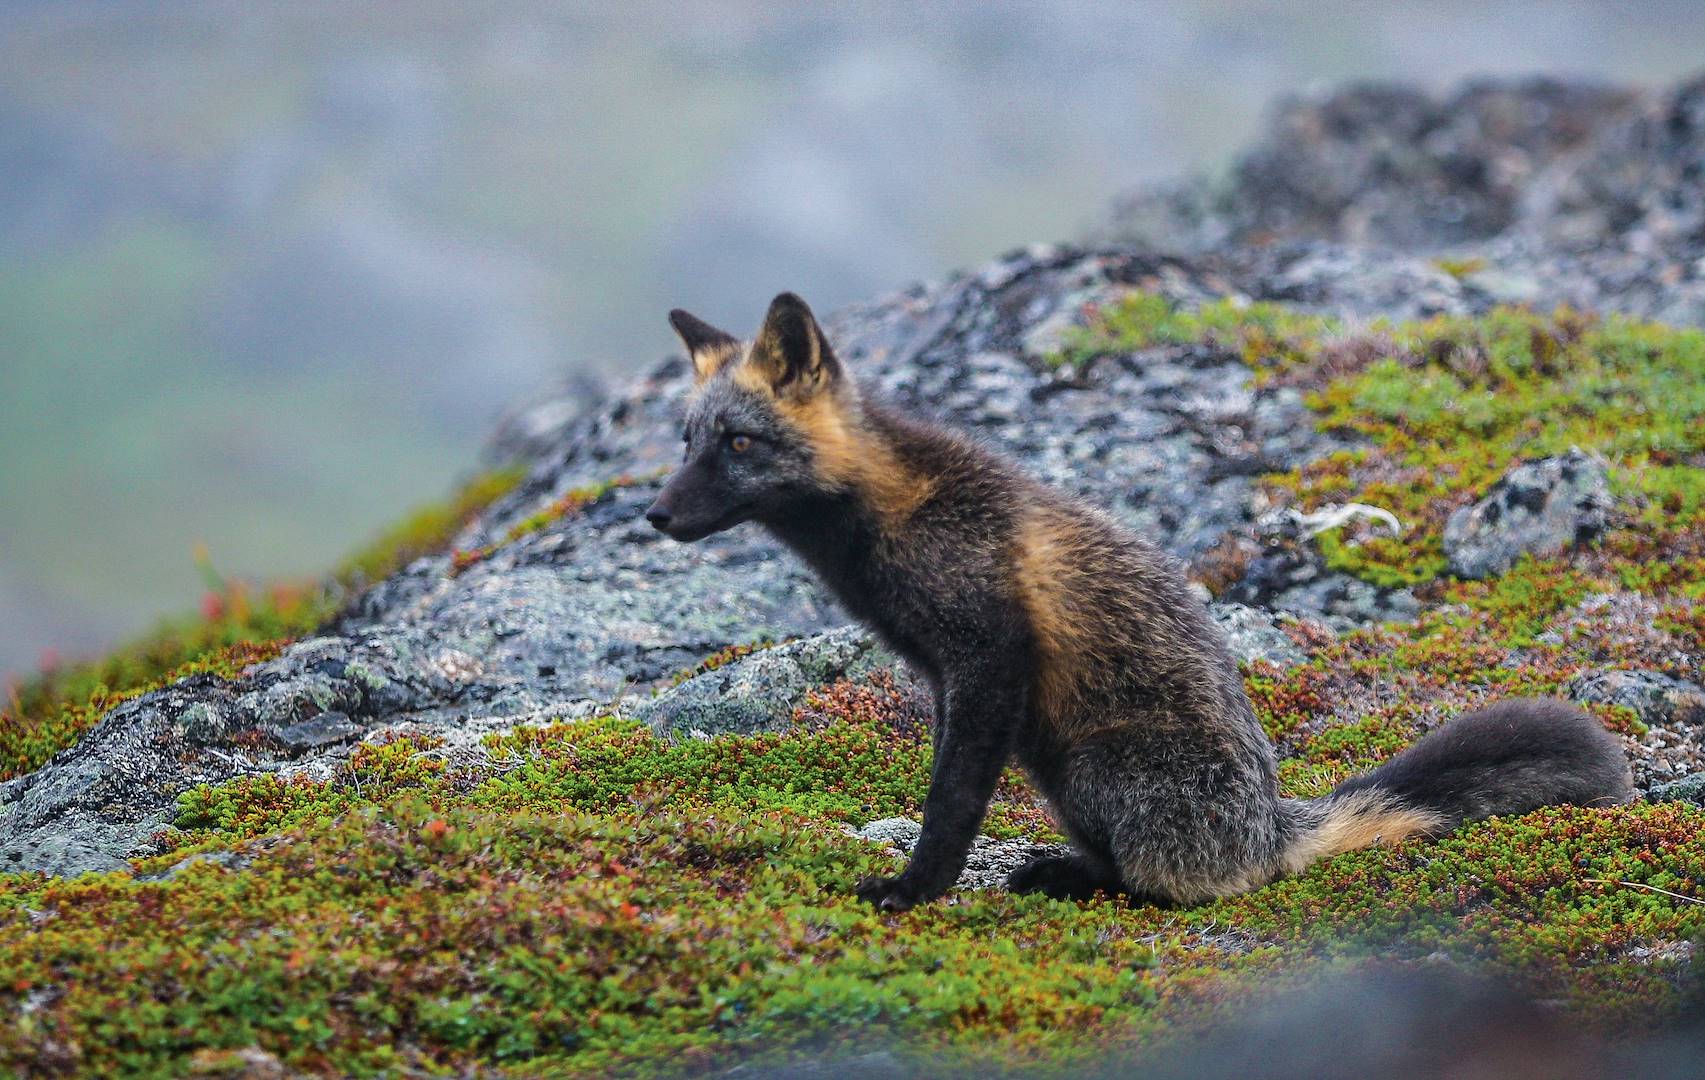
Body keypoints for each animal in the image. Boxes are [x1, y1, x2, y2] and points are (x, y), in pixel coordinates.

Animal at [644, 292, 1634, 911]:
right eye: (686, 441)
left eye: (738, 443)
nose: (655, 515)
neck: (896, 513)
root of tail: (1271, 831)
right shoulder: (946, 677)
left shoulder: (987, 662)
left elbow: (950, 803)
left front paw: (916, 890)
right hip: (1057, 772)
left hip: (1091, 767)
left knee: (1171, 884)